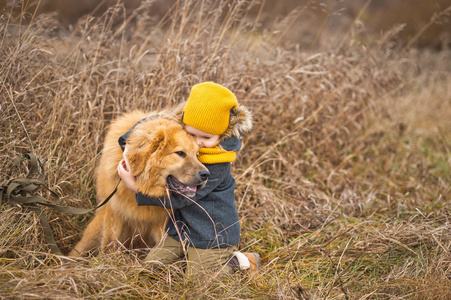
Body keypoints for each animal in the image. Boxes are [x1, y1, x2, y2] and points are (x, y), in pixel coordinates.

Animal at [68, 111, 209, 256]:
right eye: (180, 153)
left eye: (197, 155)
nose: (206, 174)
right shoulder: (115, 213)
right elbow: (109, 243)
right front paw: (106, 259)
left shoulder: (163, 222)